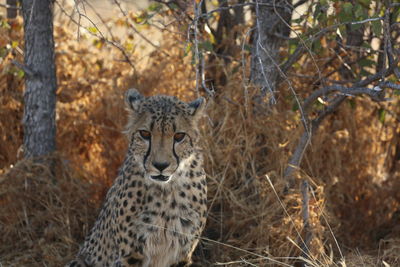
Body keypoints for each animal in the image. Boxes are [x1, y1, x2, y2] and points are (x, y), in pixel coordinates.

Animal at [66, 90, 208, 267]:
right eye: (145, 134)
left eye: (179, 136)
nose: (160, 165)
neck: (166, 192)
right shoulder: (130, 255)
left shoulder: (182, 255)